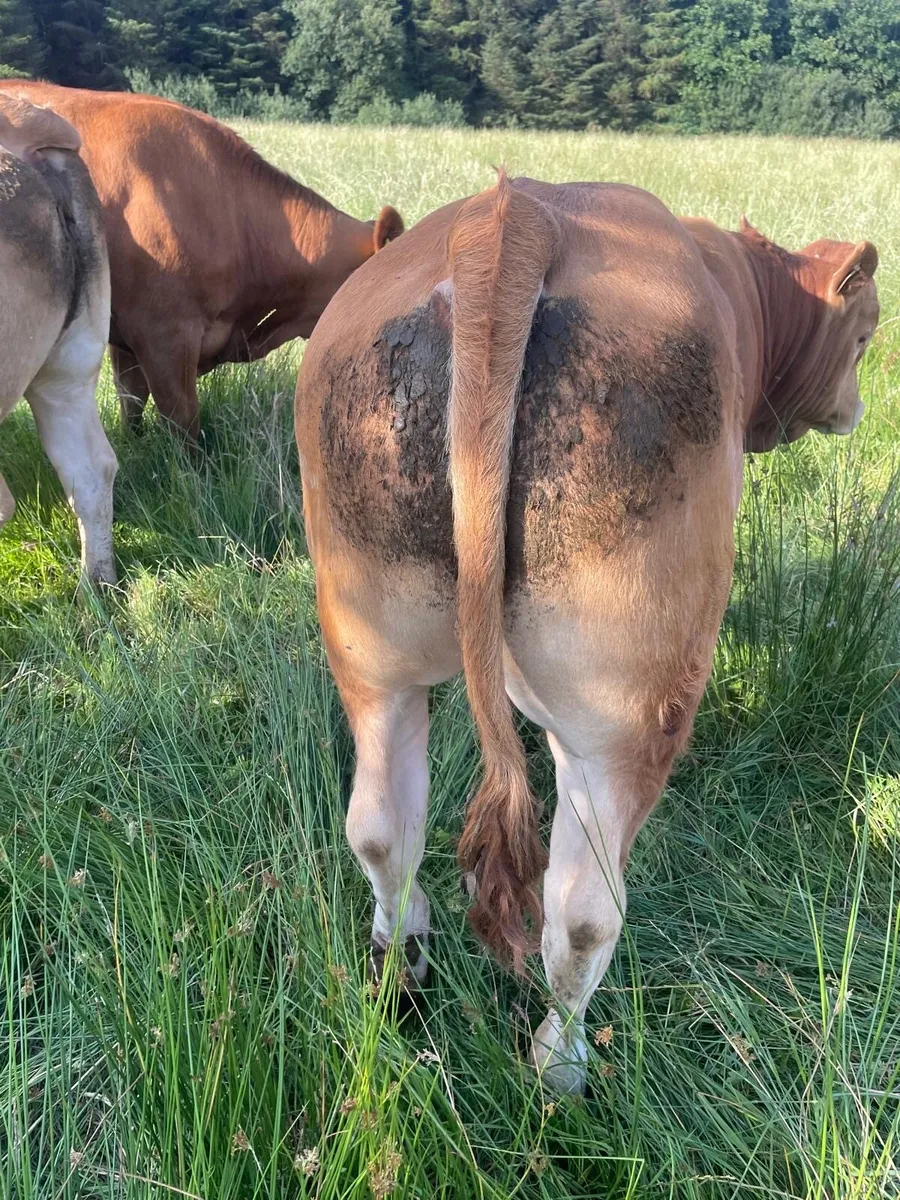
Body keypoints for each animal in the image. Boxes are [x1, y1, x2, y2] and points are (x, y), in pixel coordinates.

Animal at [294, 173, 879, 1095]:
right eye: (866, 335)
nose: (856, 410)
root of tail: (516, 212)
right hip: (623, 714)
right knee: (581, 915)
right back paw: (558, 1070)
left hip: (370, 651)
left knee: (383, 829)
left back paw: (402, 971)